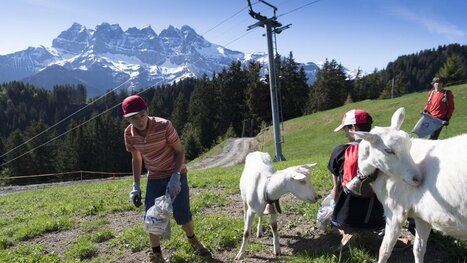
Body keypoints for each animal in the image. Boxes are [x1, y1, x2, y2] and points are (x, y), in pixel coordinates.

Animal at [354, 108, 467, 263]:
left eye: (409, 145)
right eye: (388, 150)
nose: (417, 179)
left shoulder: (395, 212)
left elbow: (384, 250)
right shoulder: (423, 215)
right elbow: (419, 249)